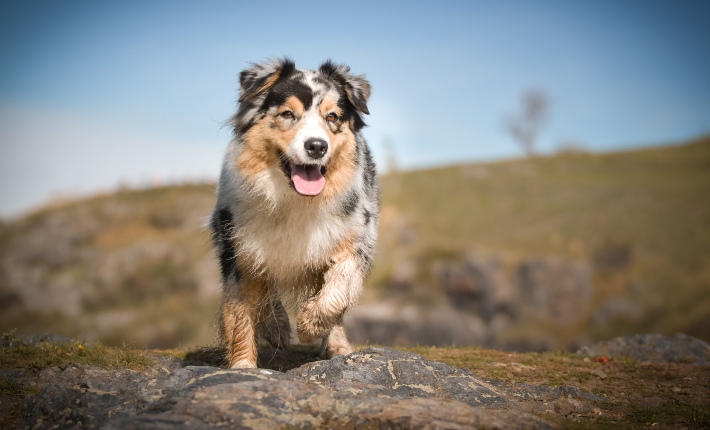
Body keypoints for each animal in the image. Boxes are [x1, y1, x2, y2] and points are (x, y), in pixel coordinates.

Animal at [210, 57, 382, 368]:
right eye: (288, 114)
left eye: (333, 117)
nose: (316, 146)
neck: (295, 200)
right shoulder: (236, 247)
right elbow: (240, 314)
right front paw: (243, 366)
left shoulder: (356, 237)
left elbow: (338, 290)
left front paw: (310, 325)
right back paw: (276, 326)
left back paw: (337, 346)